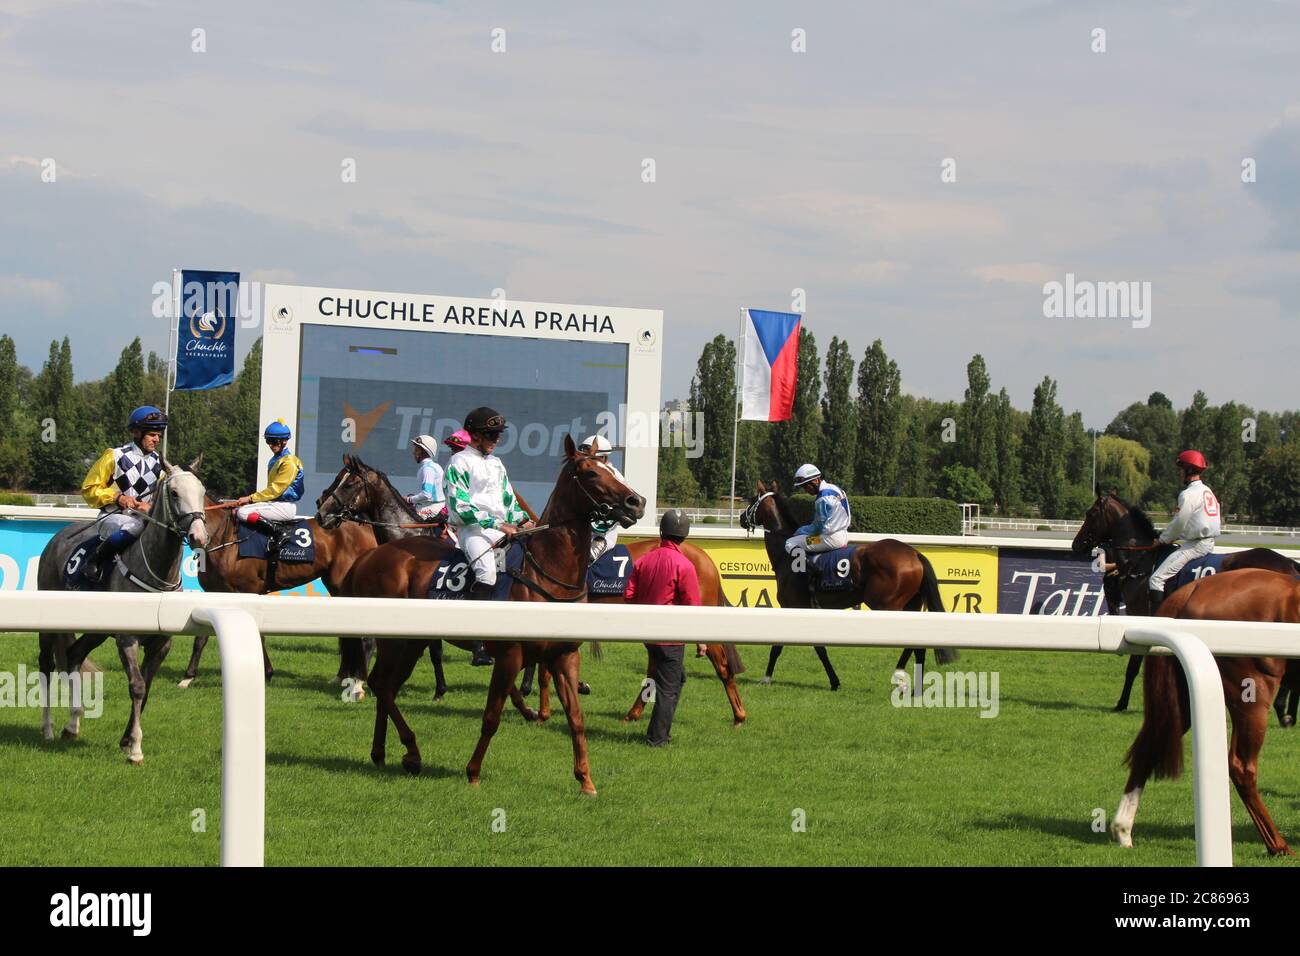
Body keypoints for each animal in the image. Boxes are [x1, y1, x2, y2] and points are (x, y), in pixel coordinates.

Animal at [36, 460, 208, 764]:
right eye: (174, 493)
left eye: (202, 491)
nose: (199, 535)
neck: (155, 576)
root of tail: (57, 538)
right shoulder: (127, 639)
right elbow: (137, 686)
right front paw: (136, 749)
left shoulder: (162, 644)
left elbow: (146, 689)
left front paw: (127, 739)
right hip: (50, 621)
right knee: (47, 664)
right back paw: (48, 728)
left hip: (98, 630)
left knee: (74, 654)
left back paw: (72, 725)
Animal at [178, 496, 382, 697]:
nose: (195, 537)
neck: (224, 538)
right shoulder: (213, 593)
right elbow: (201, 637)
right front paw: (188, 677)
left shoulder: (249, 590)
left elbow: (259, 636)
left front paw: (267, 673)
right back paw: (342, 677)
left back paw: (357, 683)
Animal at [743, 481, 956, 691]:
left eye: (753, 500)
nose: (742, 518)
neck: (787, 557)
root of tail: (914, 554)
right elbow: (819, 648)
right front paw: (834, 681)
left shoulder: (792, 606)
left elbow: (781, 646)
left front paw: (766, 678)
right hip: (912, 604)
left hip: (888, 605)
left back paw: (899, 676)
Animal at [1066, 496, 1300, 712]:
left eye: (1091, 513)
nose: (1076, 544)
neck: (1142, 560)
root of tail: (1290, 563)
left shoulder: (1140, 616)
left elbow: (1133, 665)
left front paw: (1121, 703)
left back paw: (1282, 707)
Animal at [1107, 567, 1300, 858]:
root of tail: (1193, 589)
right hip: (1252, 693)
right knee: (1241, 766)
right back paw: (1278, 845)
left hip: (1182, 699)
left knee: (1149, 747)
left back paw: (1123, 830)